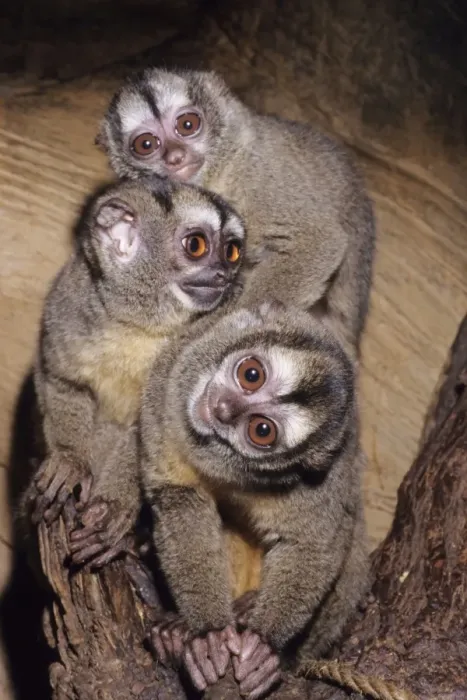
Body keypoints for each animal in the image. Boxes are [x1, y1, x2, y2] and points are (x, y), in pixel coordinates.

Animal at [21, 175, 246, 567]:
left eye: (232, 251)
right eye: (196, 245)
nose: (223, 274)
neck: (140, 326)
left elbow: (153, 433)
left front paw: (113, 509)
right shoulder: (68, 302)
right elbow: (59, 378)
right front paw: (70, 462)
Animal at [96, 67, 376, 357]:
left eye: (187, 125)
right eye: (146, 144)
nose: (175, 157)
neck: (217, 173)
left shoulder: (259, 173)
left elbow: (319, 240)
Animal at [139, 301, 369, 699]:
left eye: (262, 430)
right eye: (251, 374)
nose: (223, 408)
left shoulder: (324, 478)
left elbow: (316, 544)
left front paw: (264, 645)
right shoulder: (165, 384)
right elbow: (179, 498)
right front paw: (209, 635)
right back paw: (175, 634)